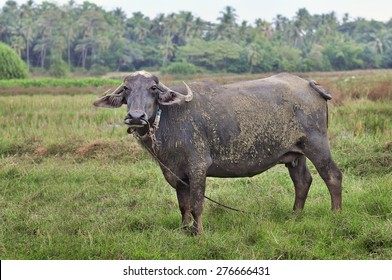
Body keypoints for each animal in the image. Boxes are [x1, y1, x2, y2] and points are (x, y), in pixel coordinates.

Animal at [93, 70, 342, 234]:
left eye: (153, 88)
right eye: (126, 89)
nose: (136, 116)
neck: (168, 119)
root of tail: (309, 84)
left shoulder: (197, 168)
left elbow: (197, 204)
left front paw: (199, 232)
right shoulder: (177, 173)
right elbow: (183, 205)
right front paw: (184, 230)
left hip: (317, 144)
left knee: (332, 176)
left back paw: (335, 214)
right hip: (295, 154)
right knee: (302, 181)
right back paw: (295, 214)